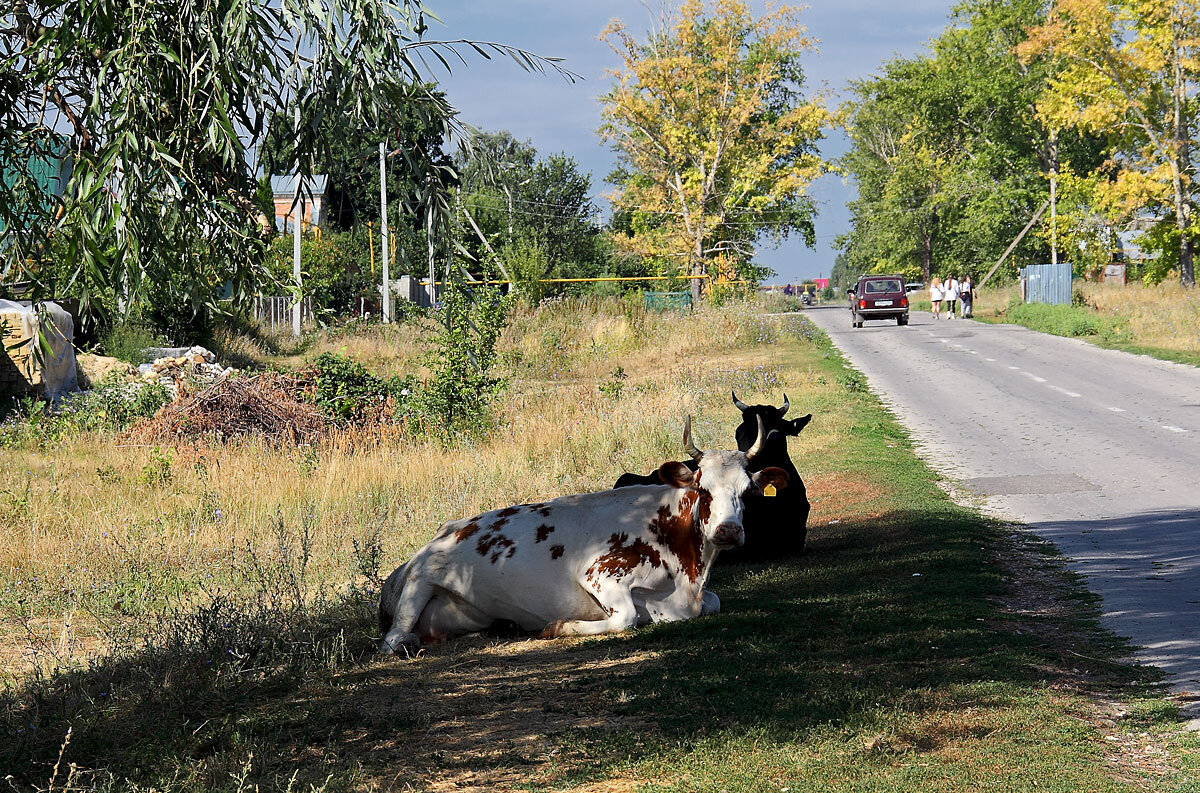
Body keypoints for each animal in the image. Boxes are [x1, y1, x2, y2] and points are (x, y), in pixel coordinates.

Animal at [376, 417, 787, 652]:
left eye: (748, 491)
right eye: (703, 489)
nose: (729, 531)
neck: (689, 573)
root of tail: (442, 532)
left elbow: (714, 602)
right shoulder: (600, 573)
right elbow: (626, 617)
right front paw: (558, 626)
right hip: (420, 582)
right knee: (392, 641)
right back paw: (408, 641)